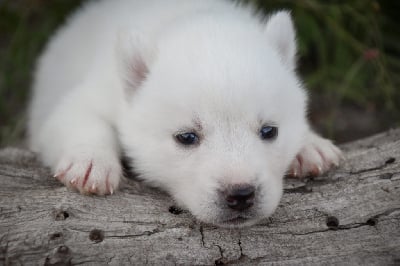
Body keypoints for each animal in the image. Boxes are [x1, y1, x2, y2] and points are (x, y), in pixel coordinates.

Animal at [28, 0, 340, 228]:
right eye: (187, 137)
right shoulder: (97, 90)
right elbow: (77, 115)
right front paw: (91, 164)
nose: (240, 194)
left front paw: (311, 146)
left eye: (269, 131)